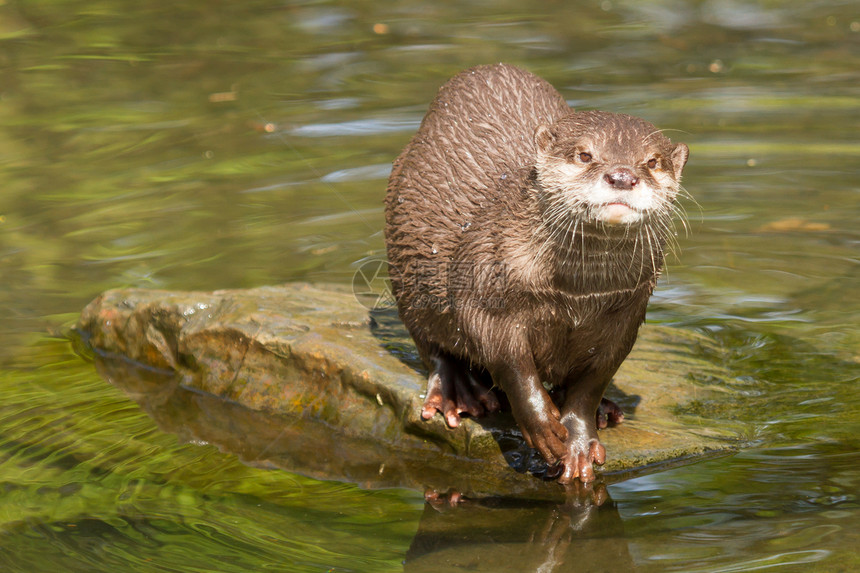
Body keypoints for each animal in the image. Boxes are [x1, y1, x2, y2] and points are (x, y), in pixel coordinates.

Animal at [386, 62, 688, 482]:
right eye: (584, 154)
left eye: (653, 161)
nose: (622, 176)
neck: (575, 294)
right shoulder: (487, 286)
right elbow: (510, 364)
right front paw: (544, 427)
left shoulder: (625, 314)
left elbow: (593, 381)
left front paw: (579, 440)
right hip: (406, 271)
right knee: (430, 344)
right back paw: (459, 392)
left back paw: (607, 410)